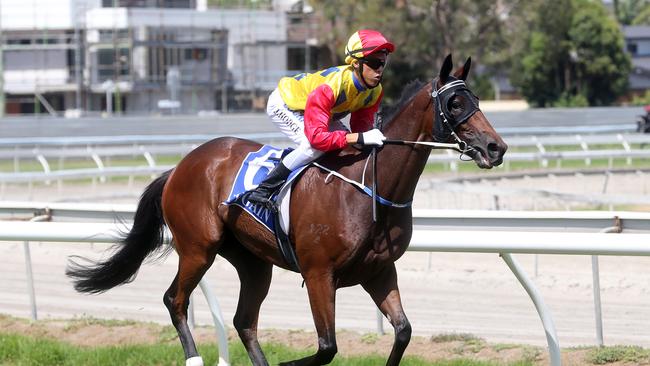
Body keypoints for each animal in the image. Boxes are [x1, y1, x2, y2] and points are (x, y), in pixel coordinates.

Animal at [66, 55, 506, 366]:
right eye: (455, 102)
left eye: (476, 99)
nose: (496, 147)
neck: (369, 188)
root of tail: (179, 167)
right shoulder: (318, 274)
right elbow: (327, 347)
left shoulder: (379, 271)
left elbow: (402, 332)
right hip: (198, 248)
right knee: (175, 300)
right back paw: (193, 357)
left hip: (253, 262)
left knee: (244, 322)